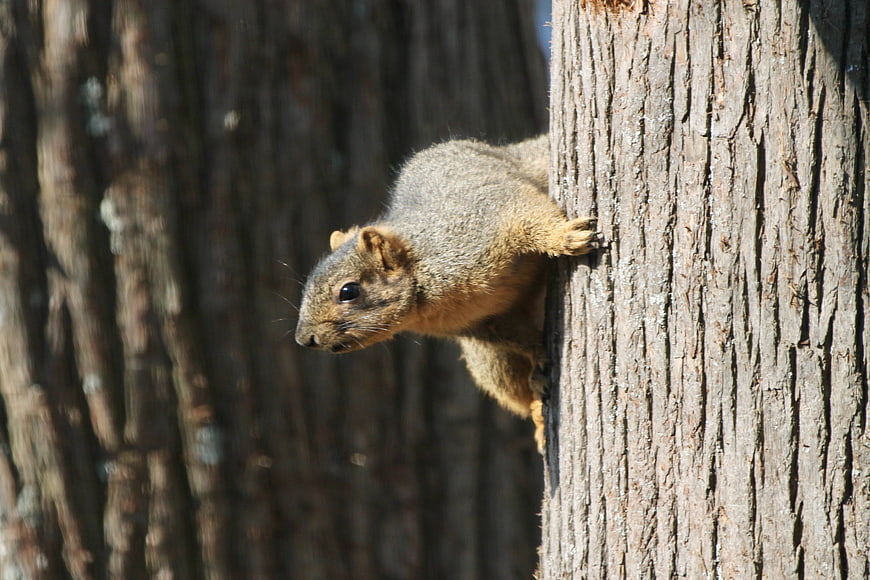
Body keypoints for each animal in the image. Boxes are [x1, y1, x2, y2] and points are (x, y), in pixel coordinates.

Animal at [294, 135, 600, 452]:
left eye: (348, 291)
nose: (305, 339)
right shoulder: (484, 322)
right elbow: (518, 337)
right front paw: (538, 352)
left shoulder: (487, 220)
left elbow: (531, 219)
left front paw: (567, 237)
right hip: (493, 364)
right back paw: (539, 411)